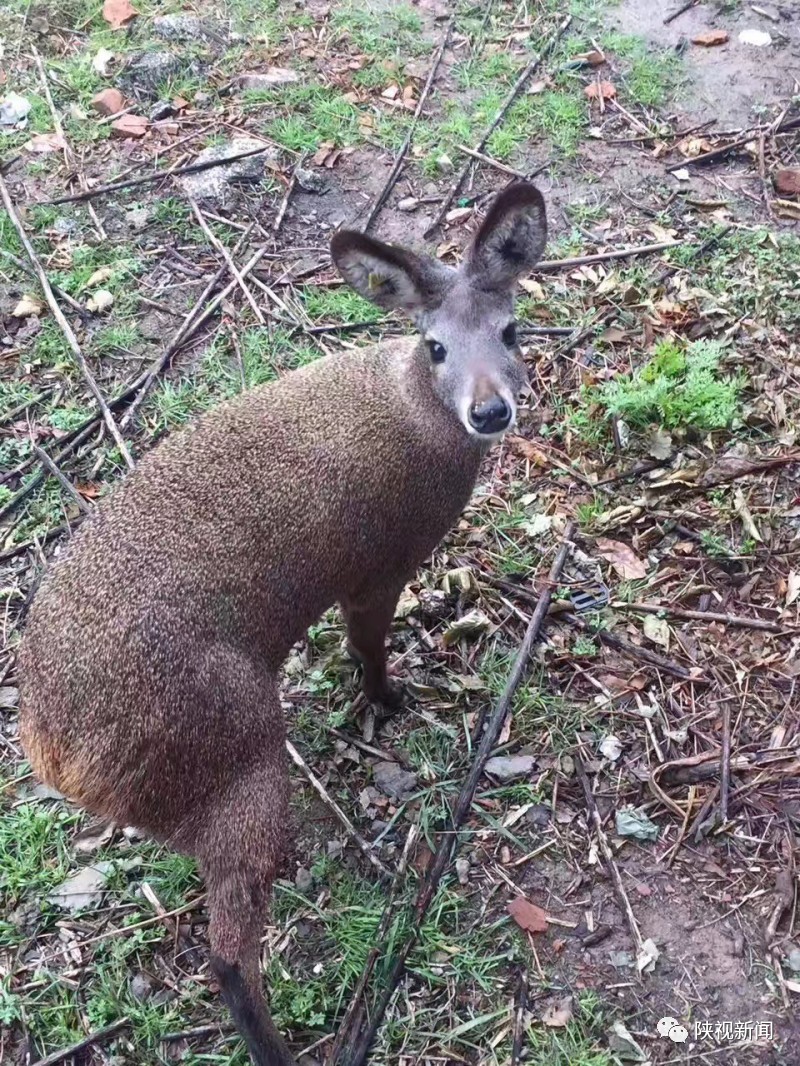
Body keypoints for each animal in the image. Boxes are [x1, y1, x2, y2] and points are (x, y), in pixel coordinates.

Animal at [21, 179, 550, 1061]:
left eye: (510, 328)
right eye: (435, 346)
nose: (490, 411)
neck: (413, 410)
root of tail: (54, 751)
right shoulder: (376, 565)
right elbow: (369, 648)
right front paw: (392, 702)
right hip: (238, 752)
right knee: (229, 952)